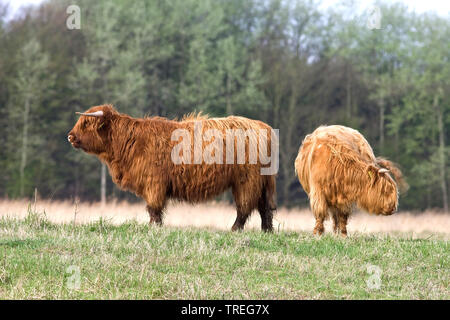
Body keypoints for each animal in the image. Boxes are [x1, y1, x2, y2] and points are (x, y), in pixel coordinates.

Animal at [67, 105, 278, 232]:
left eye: (86, 123)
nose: (70, 136)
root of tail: (264, 127)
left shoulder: (154, 183)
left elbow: (154, 208)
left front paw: (154, 228)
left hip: (246, 180)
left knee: (245, 207)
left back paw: (234, 230)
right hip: (262, 182)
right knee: (264, 207)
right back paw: (267, 231)